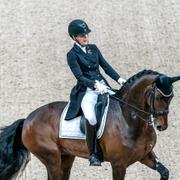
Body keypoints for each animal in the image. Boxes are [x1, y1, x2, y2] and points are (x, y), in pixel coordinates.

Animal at [0, 69, 180, 180]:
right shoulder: (118, 164)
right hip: (51, 159)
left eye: (171, 97)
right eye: (159, 97)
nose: (161, 126)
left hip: (66, 157)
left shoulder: (145, 155)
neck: (129, 119)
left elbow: (164, 172)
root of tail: (27, 120)